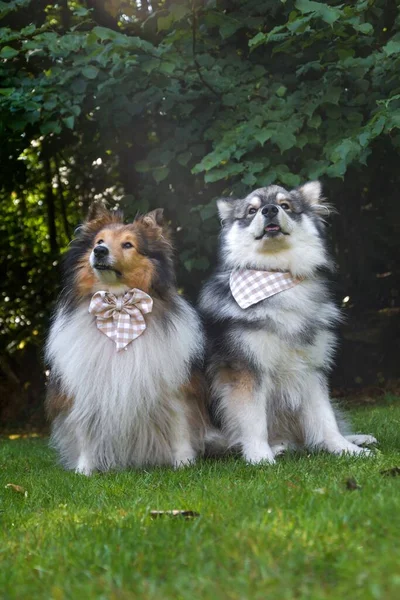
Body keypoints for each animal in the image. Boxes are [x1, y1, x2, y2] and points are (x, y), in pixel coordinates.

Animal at [46, 205, 208, 474]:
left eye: (128, 244)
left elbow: (180, 428)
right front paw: (84, 470)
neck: (119, 304)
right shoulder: (85, 389)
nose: (99, 252)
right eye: (99, 241)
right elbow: (85, 432)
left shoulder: (173, 388)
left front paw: (184, 463)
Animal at [200, 179, 378, 464]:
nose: (270, 210)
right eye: (251, 210)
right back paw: (277, 448)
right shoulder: (247, 371)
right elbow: (253, 420)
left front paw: (345, 449)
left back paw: (357, 438)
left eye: (285, 205)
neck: (276, 275)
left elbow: (326, 419)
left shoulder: (312, 369)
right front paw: (260, 456)